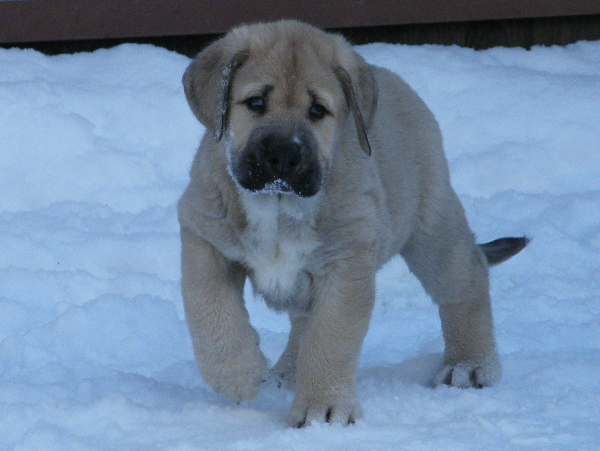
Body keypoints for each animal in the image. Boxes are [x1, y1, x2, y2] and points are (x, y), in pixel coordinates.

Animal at [178, 20, 524, 428]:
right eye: (256, 103)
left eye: (318, 110)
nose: (283, 154)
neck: (277, 207)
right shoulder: (205, 239)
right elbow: (212, 312)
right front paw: (237, 374)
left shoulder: (344, 265)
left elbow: (330, 338)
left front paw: (323, 408)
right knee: (301, 320)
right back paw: (288, 372)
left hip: (432, 230)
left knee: (467, 280)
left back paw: (468, 364)